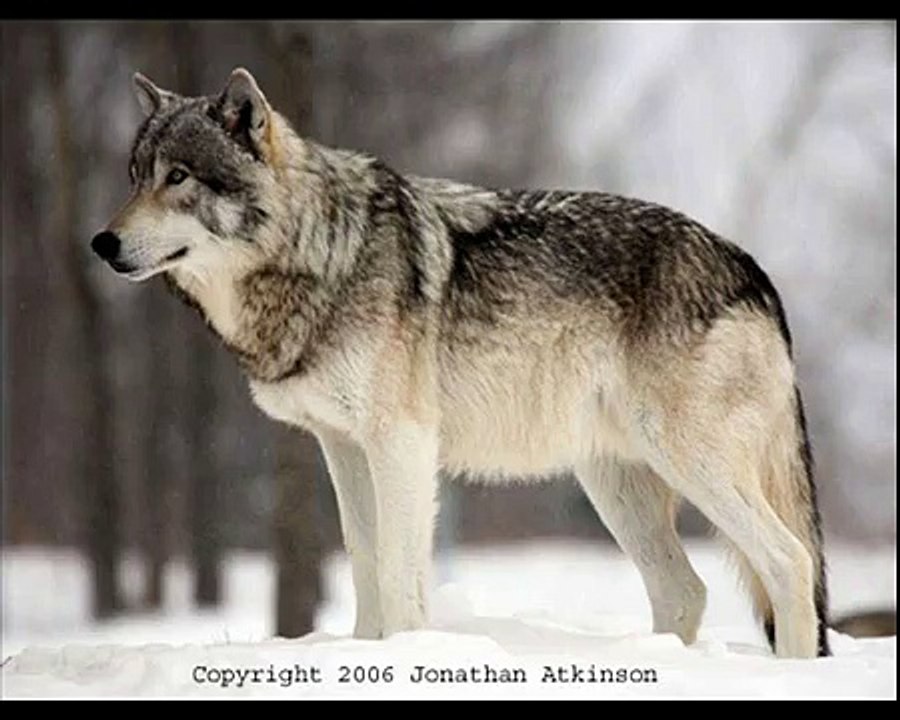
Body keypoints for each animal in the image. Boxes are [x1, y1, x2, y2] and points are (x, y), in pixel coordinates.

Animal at [92, 68, 830, 658]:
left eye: (178, 177)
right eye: (133, 178)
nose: (102, 242)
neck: (323, 253)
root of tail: (749, 265)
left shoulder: (402, 443)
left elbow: (398, 572)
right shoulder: (342, 446)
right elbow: (363, 562)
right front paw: (365, 655)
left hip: (688, 462)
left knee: (790, 563)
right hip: (615, 485)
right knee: (685, 590)